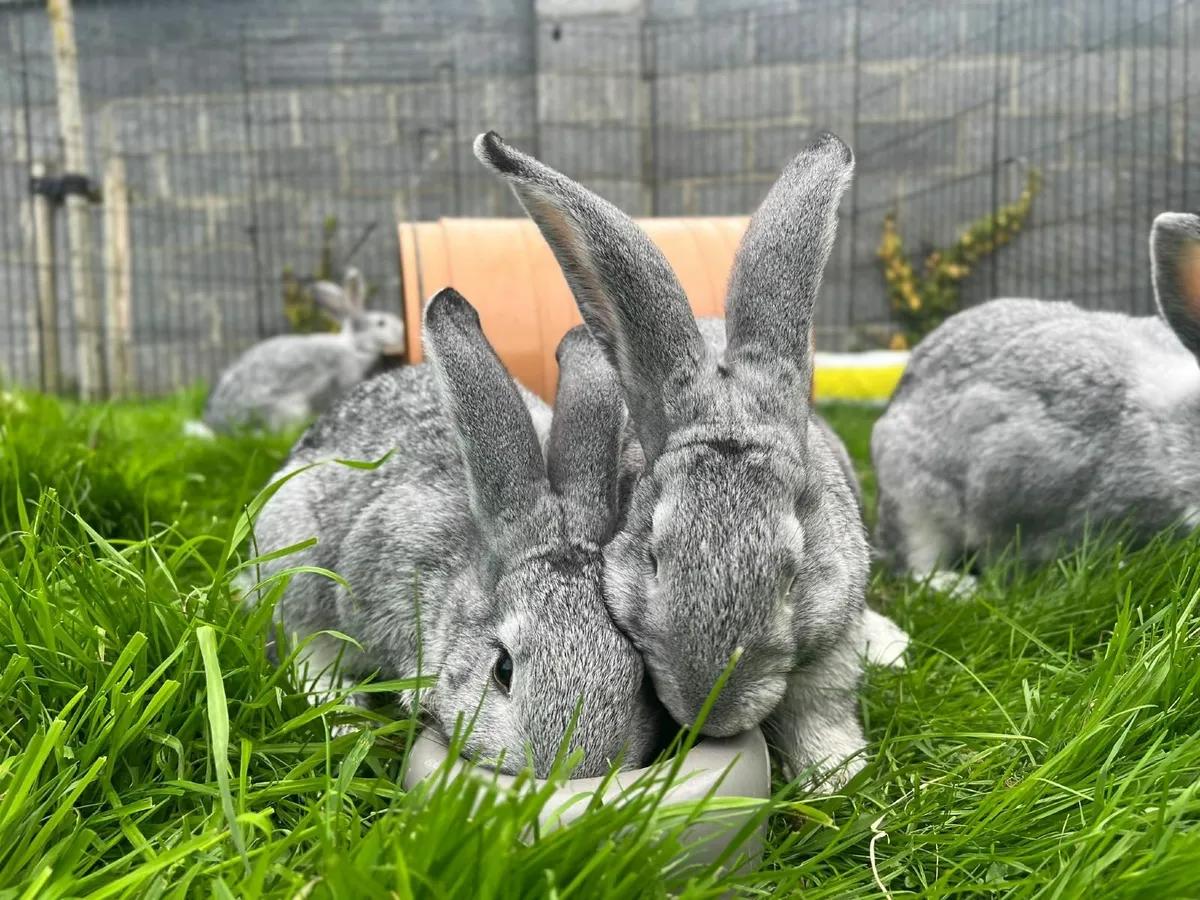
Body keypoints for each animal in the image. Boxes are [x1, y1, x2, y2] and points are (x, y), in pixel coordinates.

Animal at [191, 267, 406, 436]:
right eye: (381, 323)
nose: (402, 331)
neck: (353, 345)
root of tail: (220, 426)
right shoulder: (346, 371)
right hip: (288, 408)